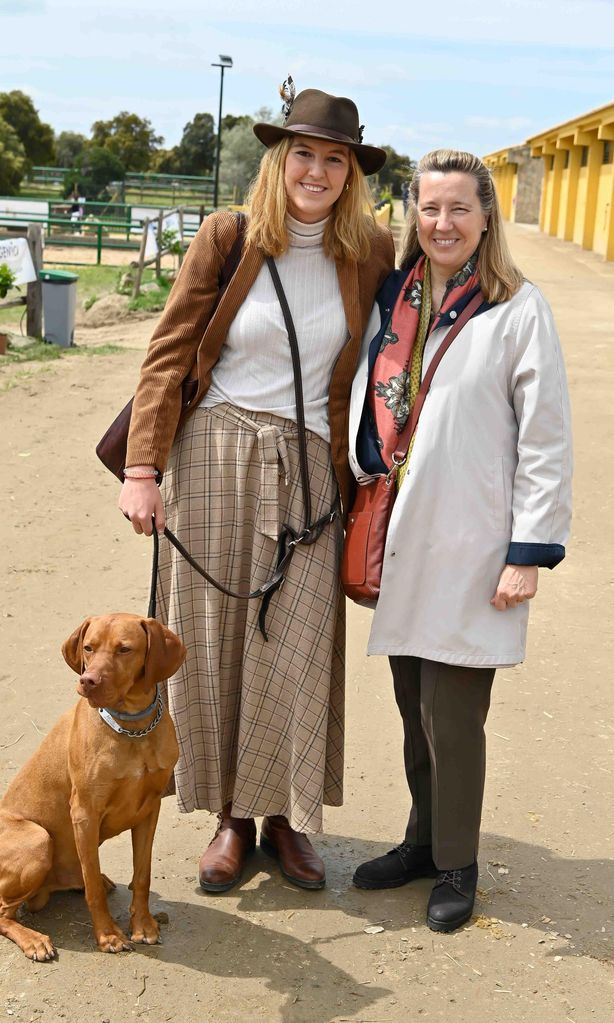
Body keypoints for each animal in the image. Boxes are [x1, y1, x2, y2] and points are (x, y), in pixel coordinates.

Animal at [0, 613, 184, 957]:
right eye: (88, 647)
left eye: (124, 649)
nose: (88, 681)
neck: (132, 728)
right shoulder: (84, 813)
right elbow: (94, 892)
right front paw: (108, 935)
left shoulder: (149, 808)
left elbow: (142, 876)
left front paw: (143, 925)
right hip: (38, 838)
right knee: (3, 912)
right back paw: (34, 939)